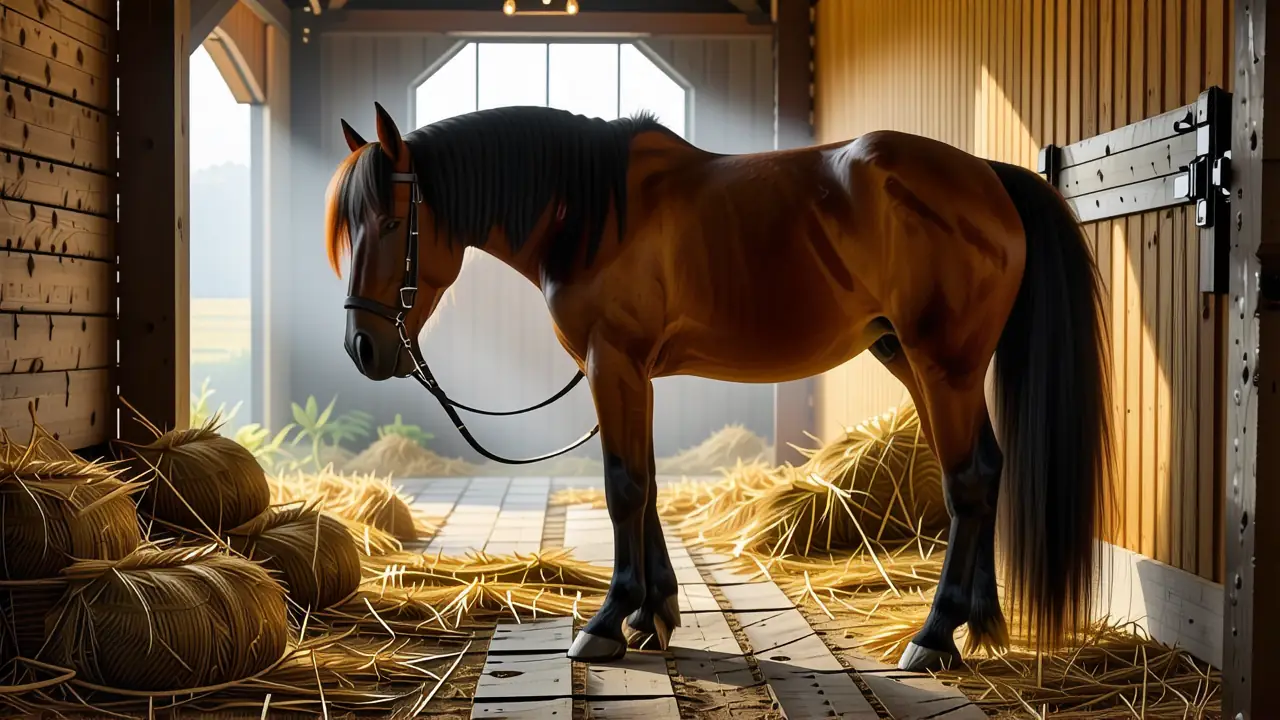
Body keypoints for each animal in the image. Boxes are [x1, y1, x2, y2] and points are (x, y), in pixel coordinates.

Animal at [325, 101, 1114, 672]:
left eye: (391, 221)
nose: (362, 347)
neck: (591, 214)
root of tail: (985, 175)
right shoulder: (632, 373)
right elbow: (643, 483)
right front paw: (653, 615)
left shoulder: (613, 364)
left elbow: (623, 487)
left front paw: (609, 624)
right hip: (914, 358)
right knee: (987, 468)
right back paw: (980, 625)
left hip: (943, 362)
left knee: (968, 481)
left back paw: (936, 634)